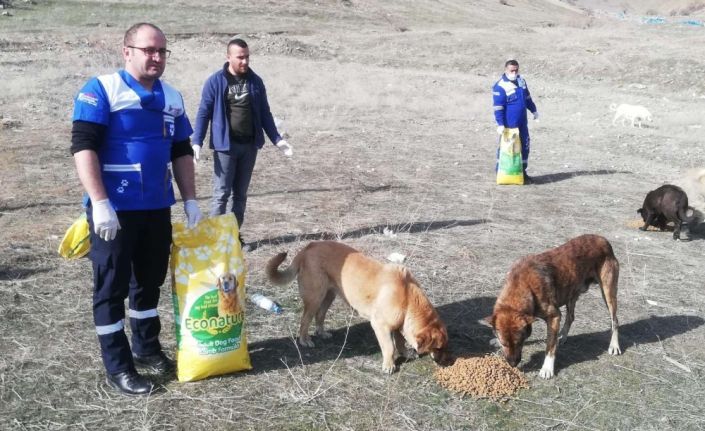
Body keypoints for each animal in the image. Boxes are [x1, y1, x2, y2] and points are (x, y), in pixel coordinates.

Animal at [264, 241, 452, 372]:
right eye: (438, 347)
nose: (447, 362)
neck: (407, 298)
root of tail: (307, 248)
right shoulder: (380, 326)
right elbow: (389, 347)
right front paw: (389, 365)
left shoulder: (399, 325)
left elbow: (399, 342)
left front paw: (405, 353)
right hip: (315, 297)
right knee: (305, 320)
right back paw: (305, 340)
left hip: (329, 296)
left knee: (320, 316)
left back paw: (322, 333)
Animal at [486, 235, 620, 380]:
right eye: (504, 344)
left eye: (519, 342)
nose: (512, 364)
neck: (522, 285)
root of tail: (603, 240)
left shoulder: (554, 316)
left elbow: (550, 346)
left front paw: (547, 368)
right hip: (571, 293)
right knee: (571, 317)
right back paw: (562, 337)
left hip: (608, 293)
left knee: (615, 320)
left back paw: (614, 346)